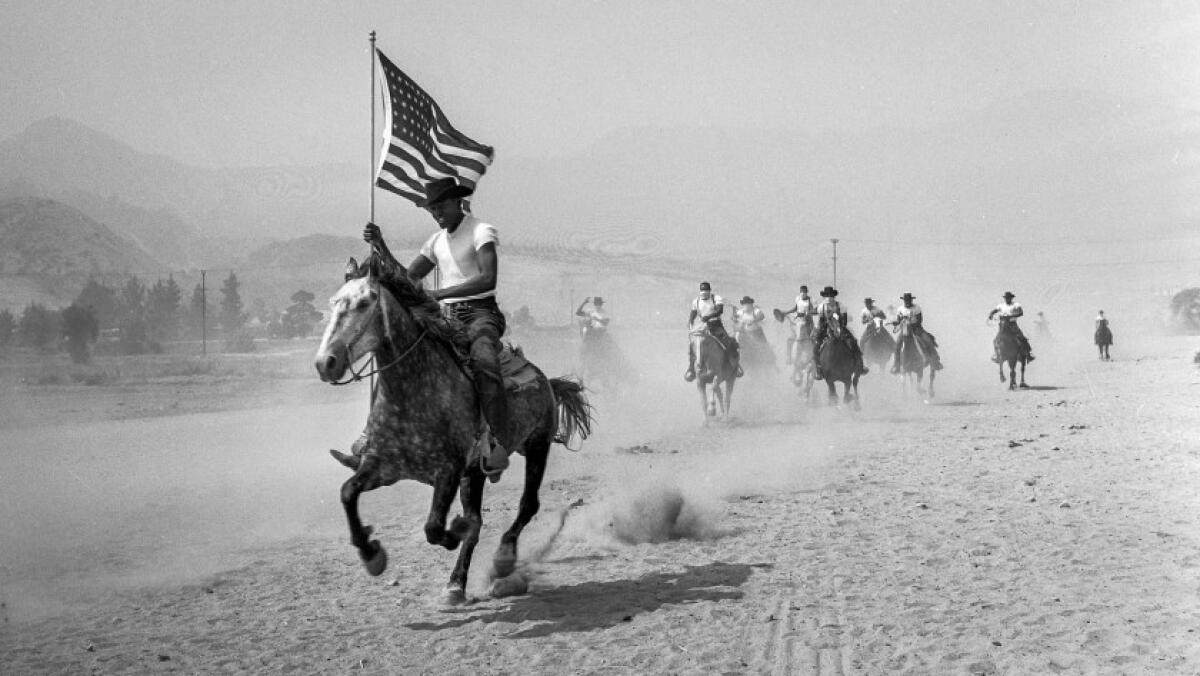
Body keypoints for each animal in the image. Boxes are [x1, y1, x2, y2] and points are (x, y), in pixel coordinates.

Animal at [312, 258, 588, 602]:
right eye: (333, 303)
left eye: (364, 303)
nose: (326, 363)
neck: (412, 391)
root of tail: (545, 380)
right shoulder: (383, 467)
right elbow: (348, 492)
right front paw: (371, 554)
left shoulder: (448, 471)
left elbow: (434, 527)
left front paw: (454, 530)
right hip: (476, 473)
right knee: (479, 520)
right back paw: (456, 584)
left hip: (537, 446)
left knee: (526, 505)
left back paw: (501, 559)